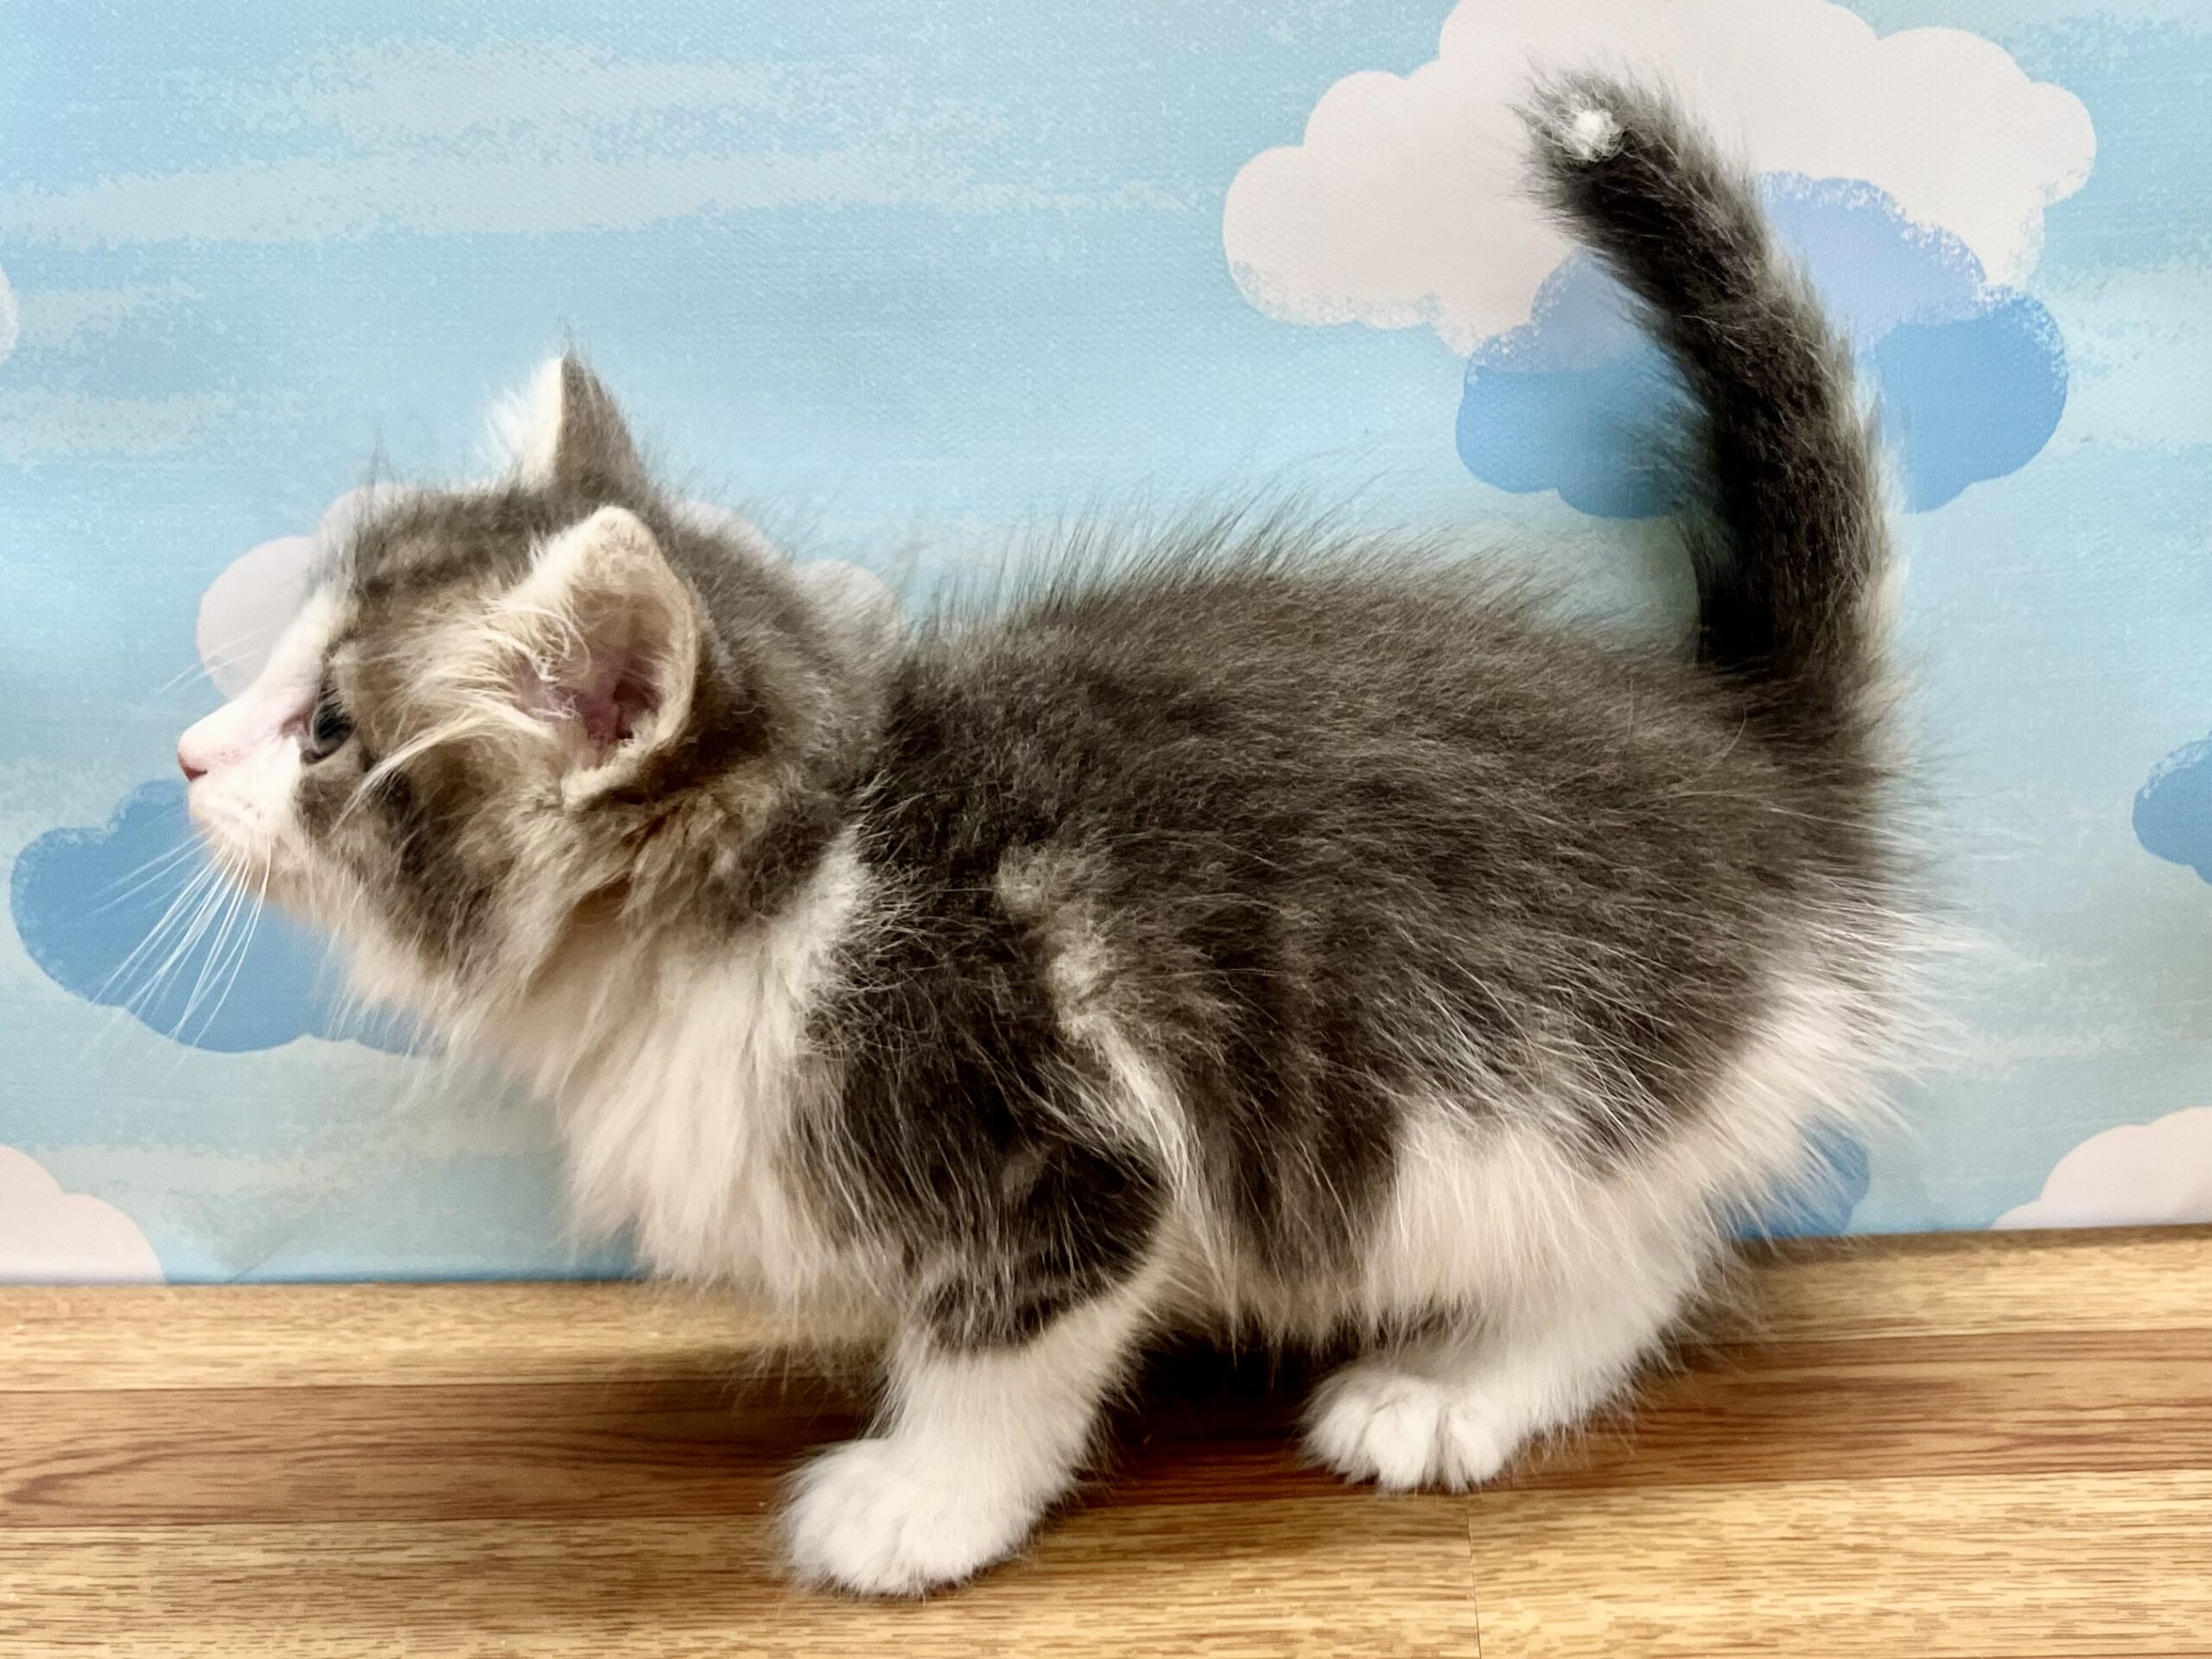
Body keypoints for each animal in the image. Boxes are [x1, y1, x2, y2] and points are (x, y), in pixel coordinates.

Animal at [178, 76, 1911, 1596]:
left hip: (1511, 1113)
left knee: (1641, 1256)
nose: (190, 757)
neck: (799, 888)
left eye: (325, 728)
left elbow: (1002, 1355)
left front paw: (919, 1506)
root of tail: (1758, 769)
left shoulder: (1052, 1142)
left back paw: (1456, 1387)